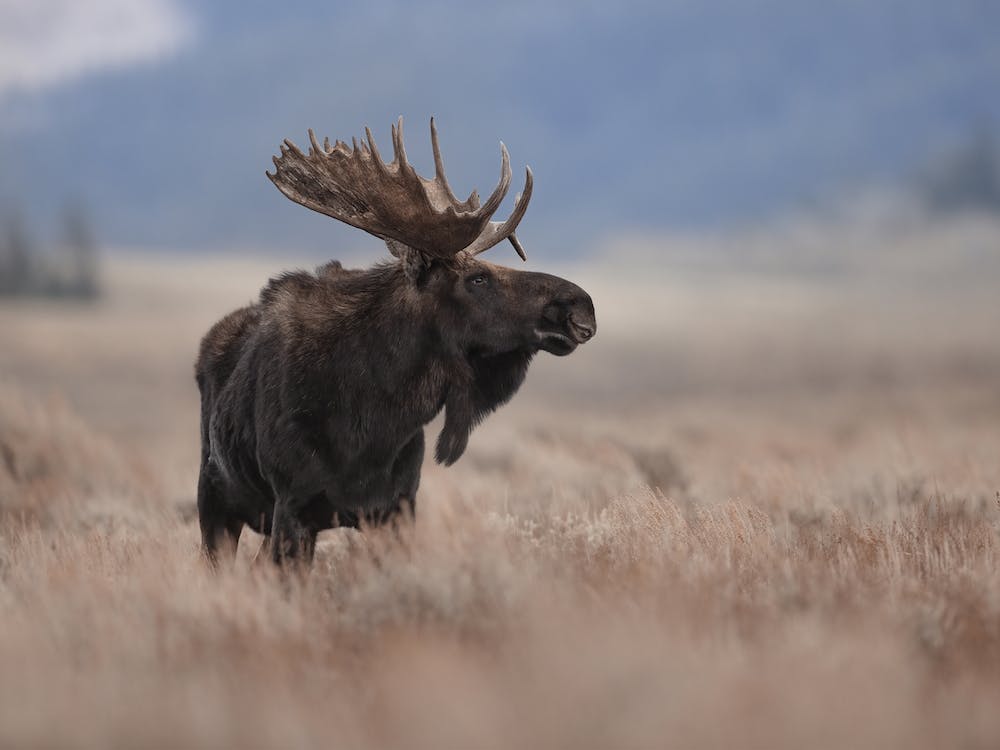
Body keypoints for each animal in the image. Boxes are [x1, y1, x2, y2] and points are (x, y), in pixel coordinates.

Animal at [195, 118, 596, 567]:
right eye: (477, 279)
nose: (581, 306)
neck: (374, 419)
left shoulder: (397, 508)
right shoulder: (292, 507)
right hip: (214, 503)